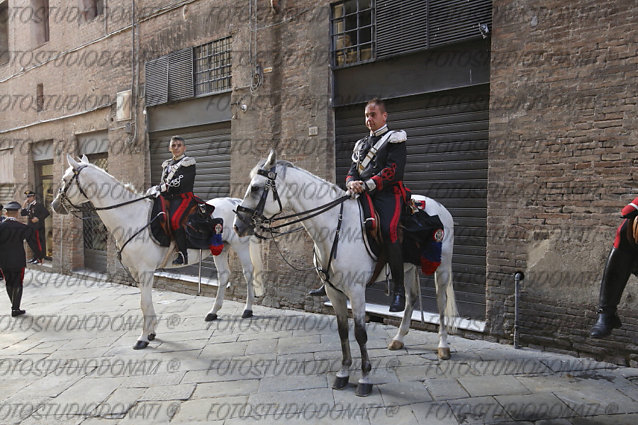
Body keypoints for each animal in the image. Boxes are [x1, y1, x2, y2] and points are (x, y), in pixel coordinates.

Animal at [50, 155, 268, 348]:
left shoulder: (145, 271)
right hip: (220, 249)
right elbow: (146, 303)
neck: (131, 217)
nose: (54, 205)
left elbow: (144, 303)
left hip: (240, 247)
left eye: (65, 179)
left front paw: (143, 338)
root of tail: (236, 202)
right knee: (224, 276)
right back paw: (213, 312)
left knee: (248, 274)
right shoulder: (138, 272)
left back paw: (248, 309)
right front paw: (151, 332)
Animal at [236, 151, 460, 396]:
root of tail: (439, 207)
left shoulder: (356, 292)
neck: (336, 228)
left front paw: (365, 378)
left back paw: (443, 346)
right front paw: (343, 373)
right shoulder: (334, 293)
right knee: (410, 298)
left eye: (256, 188)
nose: (238, 225)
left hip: (442, 268)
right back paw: (399, 338)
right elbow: (343, 332)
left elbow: (360, 334)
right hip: (408, 268)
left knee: (441, 303)